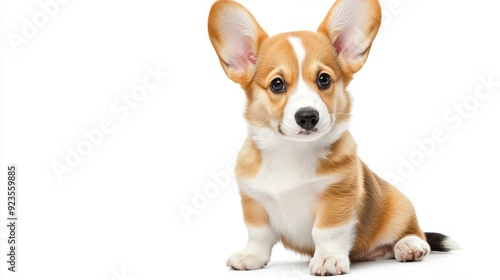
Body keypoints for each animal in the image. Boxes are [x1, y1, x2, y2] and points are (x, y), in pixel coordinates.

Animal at [206, 0, 458, 276]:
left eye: (323, 79)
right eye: (277, 84)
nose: (307, 117)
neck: (291, 150)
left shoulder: (337, 196)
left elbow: (326, 232)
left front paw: (328, 259)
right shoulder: (253, 199)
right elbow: (258, 234)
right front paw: (251, 256)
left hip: (399, 205)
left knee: (413, 231)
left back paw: (410, 246)